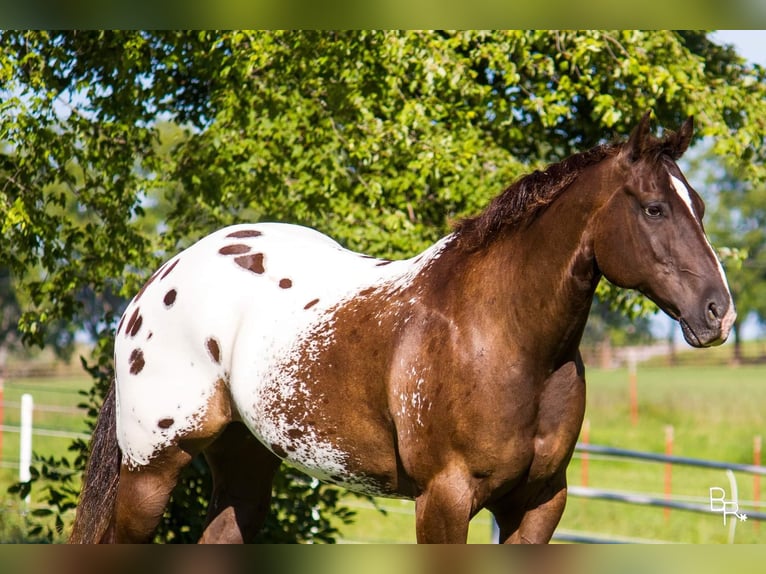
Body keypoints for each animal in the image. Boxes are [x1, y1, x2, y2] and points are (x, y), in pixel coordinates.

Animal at [70, 111, 736, 544]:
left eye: (701, 207)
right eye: (655, 208)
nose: (719, 312)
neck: (502, 338)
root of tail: (152, 289)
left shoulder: (539, 503)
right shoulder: (444, 500)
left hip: (245, 465)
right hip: (152, 470)